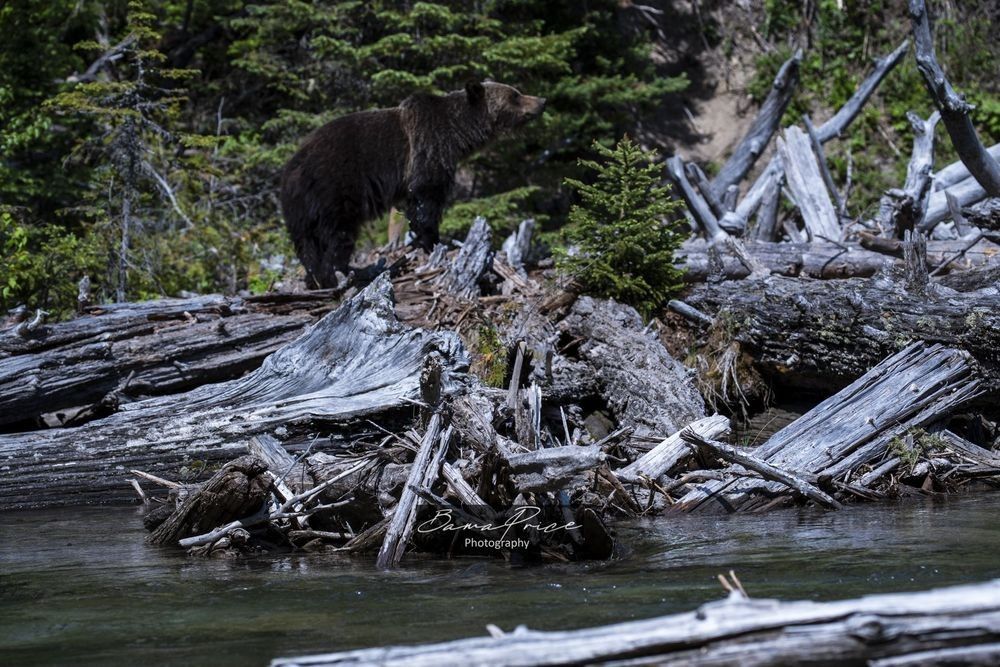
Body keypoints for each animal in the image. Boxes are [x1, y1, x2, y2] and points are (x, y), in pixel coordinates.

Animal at [280, 81, 546, 288]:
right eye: (515, 94)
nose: (542, 101)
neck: (457, 133)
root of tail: (294, 167)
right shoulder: (429, 149)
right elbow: (428, 197)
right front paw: (435, 241)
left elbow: (414, 204)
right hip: (334, 190)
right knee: (337, 234)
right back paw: (336, 274)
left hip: (299, 210)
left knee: (307, 244)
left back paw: (315, 277)